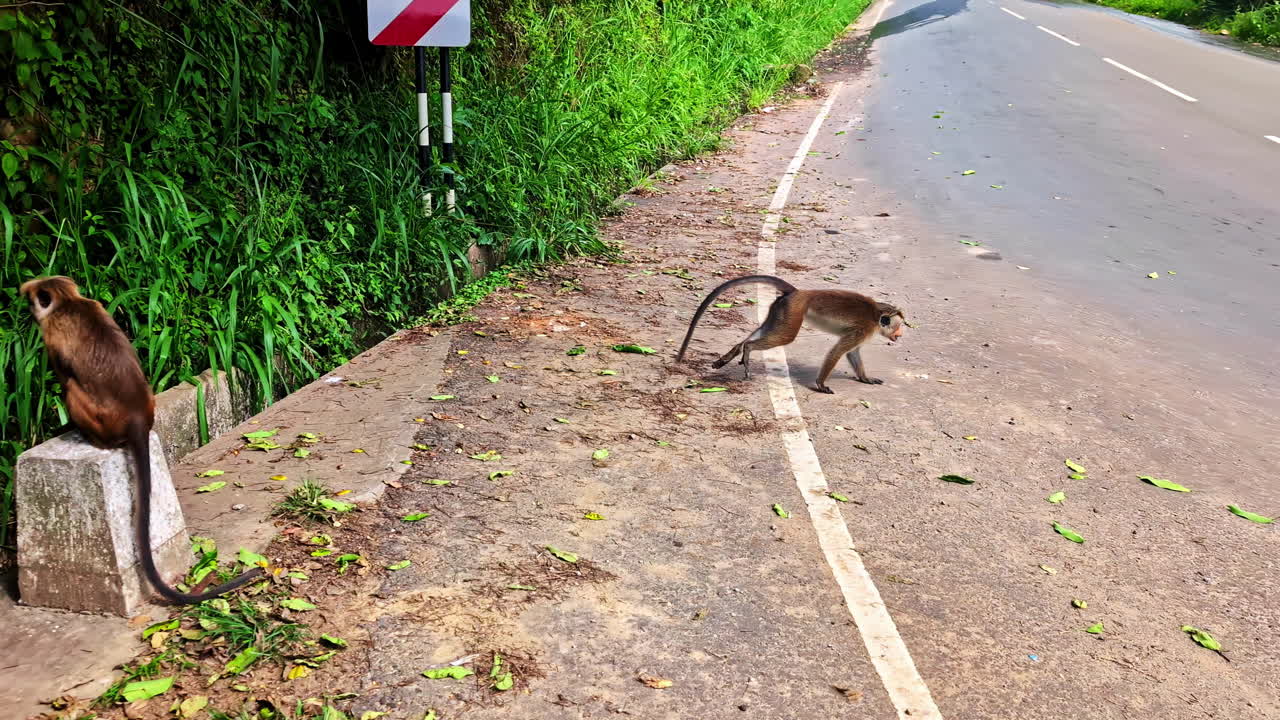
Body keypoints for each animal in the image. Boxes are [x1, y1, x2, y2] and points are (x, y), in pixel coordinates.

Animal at [21, 276, 264, 604]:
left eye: (32, 300)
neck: (69, 302)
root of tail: (138, 417)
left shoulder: (52, 334)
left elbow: (63, 370)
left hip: (94, 416)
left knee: (71, 385)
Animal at [675, 275, 906, 394]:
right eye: (898, 327)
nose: (901, 335)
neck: (877, 315)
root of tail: (799, 293)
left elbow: (852, 353)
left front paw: (865, 378)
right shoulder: (865, 328)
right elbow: (839, 351)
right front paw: (821, 384)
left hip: (781, 309)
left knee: (767, 330)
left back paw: (734, 352)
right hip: (794, 310)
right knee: (786, 336)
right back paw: (747, 349)